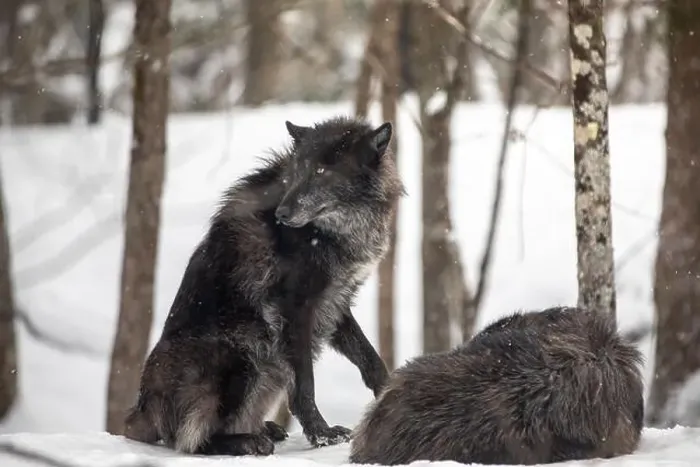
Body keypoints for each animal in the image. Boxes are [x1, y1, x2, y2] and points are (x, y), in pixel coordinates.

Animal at [123, 116, 404, 456]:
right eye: (298, 171)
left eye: (321, 171)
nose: (282, 213)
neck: (334, 231)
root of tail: (142, 408)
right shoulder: (296, 308)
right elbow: (305, 385)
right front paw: (322, 435)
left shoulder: (334, 302)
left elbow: (371, 360)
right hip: (243, 351)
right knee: (191, 442)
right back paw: (249, 441)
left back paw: (264, 429)